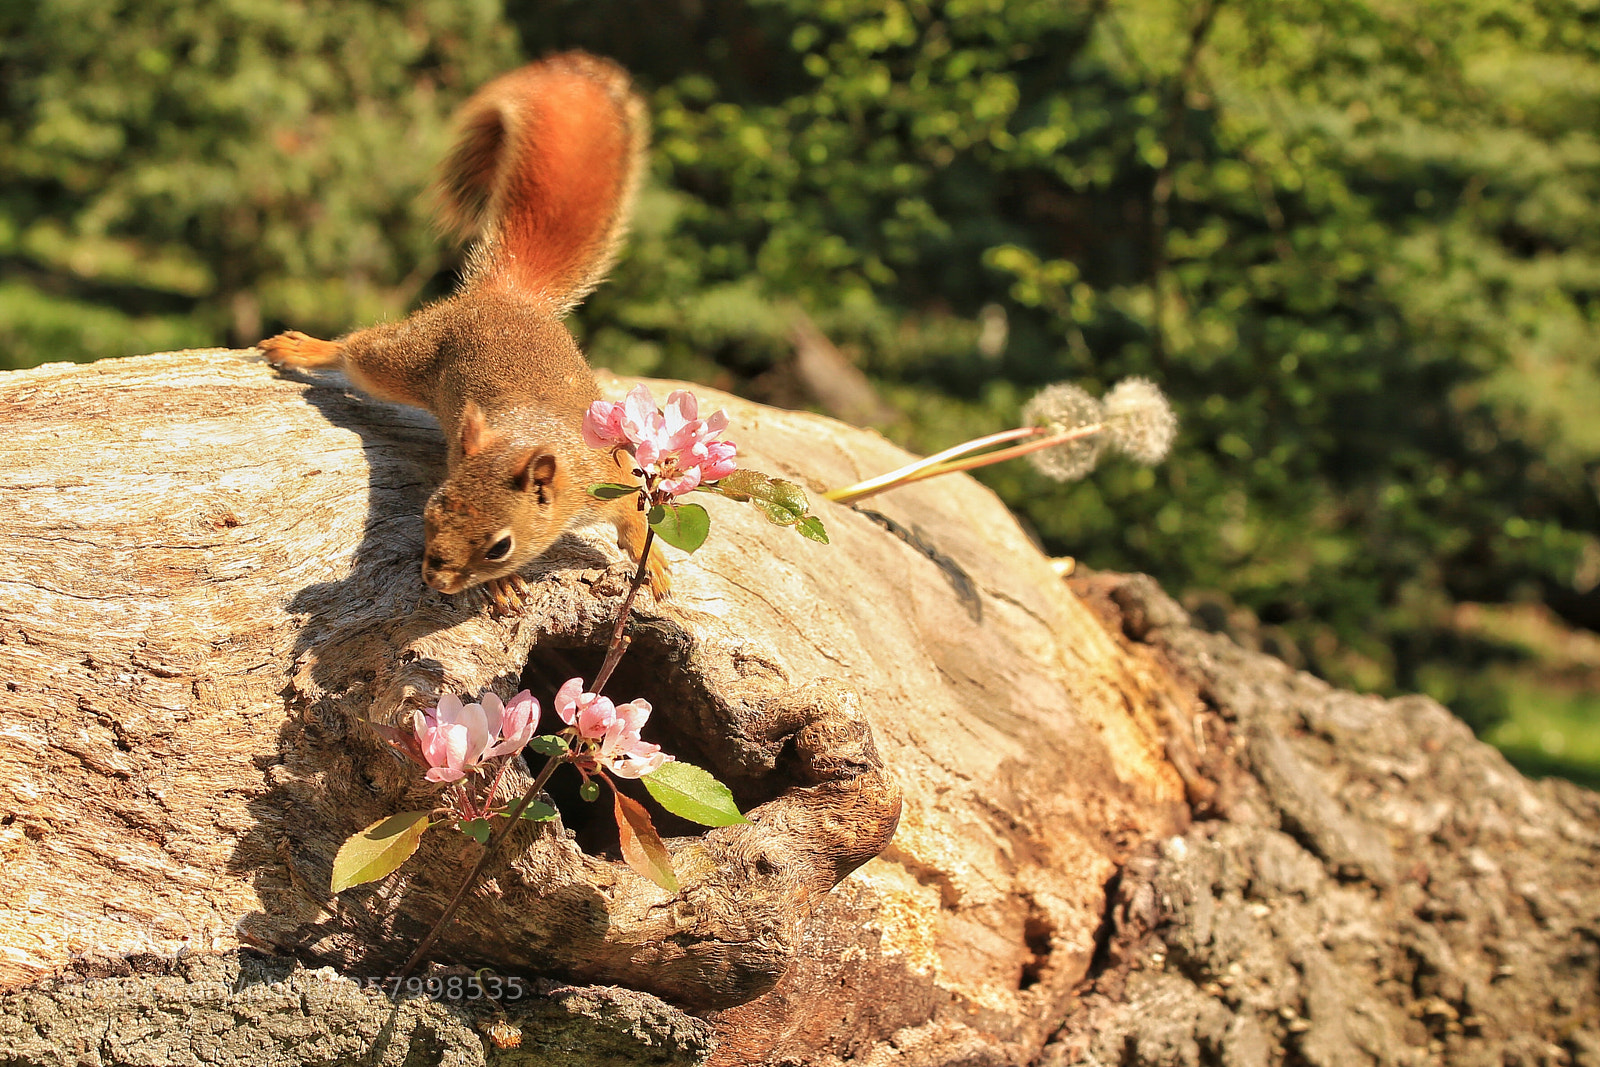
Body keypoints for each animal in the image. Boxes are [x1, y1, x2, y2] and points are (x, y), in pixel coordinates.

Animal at [259, 52, 668, 611]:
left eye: (499, 546)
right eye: (431, 511)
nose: (433, 579)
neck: (532, 441)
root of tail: (508, 296)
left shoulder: (608, 473)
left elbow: (630, 514)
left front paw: (653, 560)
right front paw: (503, 586)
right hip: (405, 358)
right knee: (352, 352)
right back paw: (304, 348)